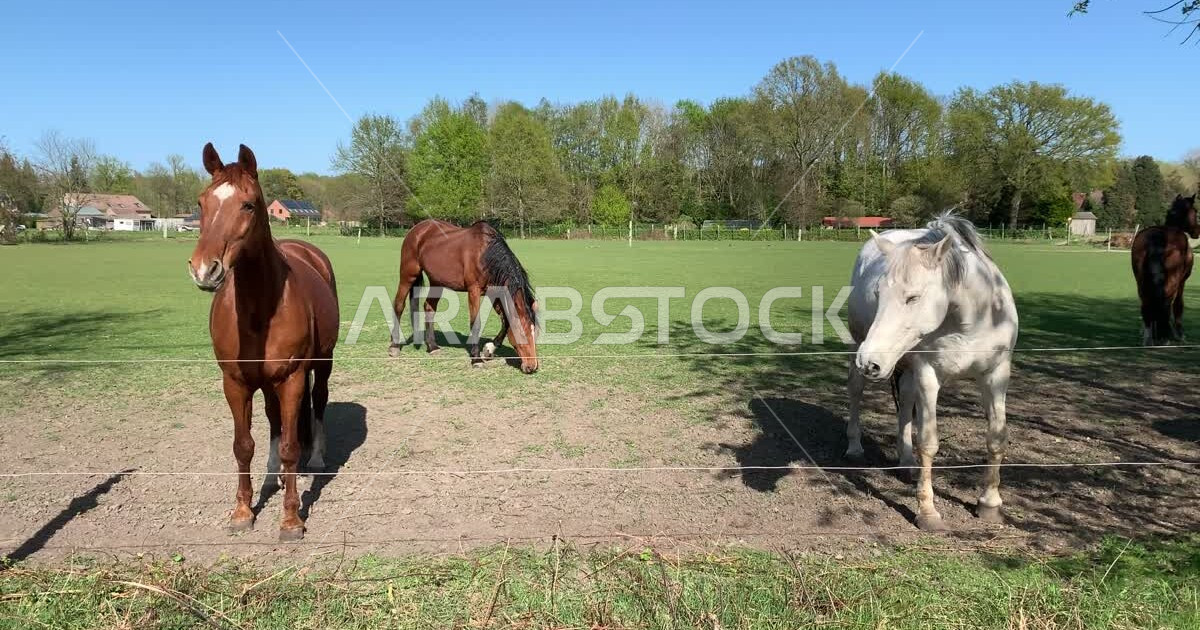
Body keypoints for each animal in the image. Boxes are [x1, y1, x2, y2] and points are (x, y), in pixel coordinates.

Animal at [187, 143, 340, 541]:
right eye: (201, 202)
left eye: (248, 204)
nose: (204, 269)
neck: (260, 308)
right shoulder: (235, 383)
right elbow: (244, 446)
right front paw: (242, 511)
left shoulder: (293, 379)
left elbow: (290, 446)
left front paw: (291, 519)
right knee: (273, 420)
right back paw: (272, 476)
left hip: (323, 364)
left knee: (319, 403)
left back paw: (316, 457)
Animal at [387, 219, 539, 373]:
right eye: (523, 334)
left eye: (535, 333)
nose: (532, 366)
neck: (485, 254)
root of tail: (417, 229)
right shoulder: (474, 291)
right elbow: (476, 323)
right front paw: (476, 359)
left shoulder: (495, 292)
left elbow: (505, 322)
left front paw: (489, 349)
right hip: (408, 274)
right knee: (399, 305)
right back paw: (394, 346)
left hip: (437, 281)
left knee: (429, 307)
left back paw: (432, 347)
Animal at [846, 213, 1018, 531]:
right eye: (878, 293)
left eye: (913, 297)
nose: (870, 361)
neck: (971, 320)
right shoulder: (929, 375)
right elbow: (928, 442)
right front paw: (927, 512)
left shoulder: (997, 374)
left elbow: (996, 437)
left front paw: (989, 504)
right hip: (861, 347)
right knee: (855, 391)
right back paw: (854, 447)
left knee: (904, 404)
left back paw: (905, 462)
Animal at [1131, 194, 1199, 345]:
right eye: (1195, 211)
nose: (1197, 231)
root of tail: (1157, 238)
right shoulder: (1182, 281)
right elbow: (1178, 305)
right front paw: (1180, 334)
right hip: (1172, 280)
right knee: (1166, 304)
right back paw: (1165, 336)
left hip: (1141, 282)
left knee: (1146, 305)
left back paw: (1149, 338)